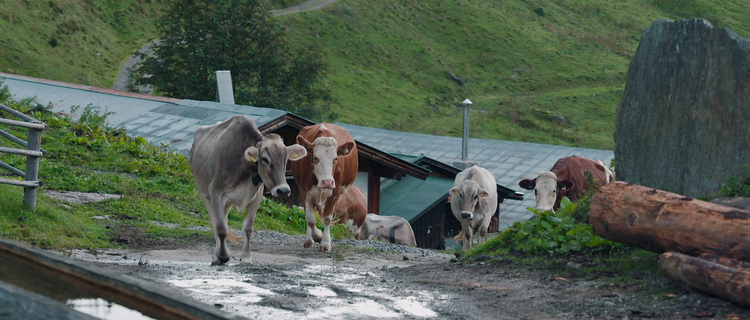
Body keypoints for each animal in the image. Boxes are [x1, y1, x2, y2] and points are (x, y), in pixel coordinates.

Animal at [191, 115, 308, 264]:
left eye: (286, 159)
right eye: (265, 159)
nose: (283, 190)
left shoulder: (256, 197)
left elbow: (248, 228)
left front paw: (246, 257)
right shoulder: (216, 191)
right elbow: (220, 227)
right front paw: (223, 256)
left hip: (226, 202)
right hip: (204, 193)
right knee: (214, 222)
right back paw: (216, 256)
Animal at [290, 122, 358, 252]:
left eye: (335, 158)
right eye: (316, 158)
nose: (327, 182)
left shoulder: (335, 192)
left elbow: (327, 218)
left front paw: (326, 243)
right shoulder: (304, 191)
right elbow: (310, 219)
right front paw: (317, 236)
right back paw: (309, 240)